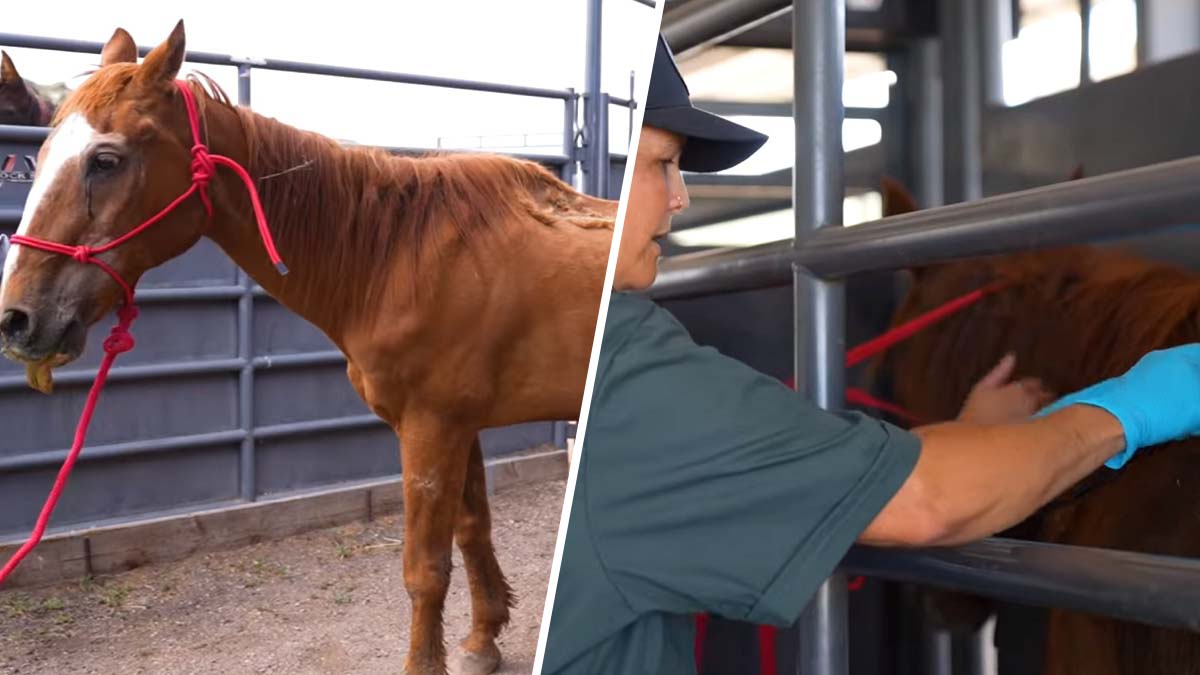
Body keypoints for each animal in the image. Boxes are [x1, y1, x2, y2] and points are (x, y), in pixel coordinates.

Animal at [0, 23, 614, 675]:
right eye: (39, 159)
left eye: (105, 160)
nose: (17, 319)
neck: (398, 258)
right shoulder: (460, 426)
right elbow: (473, 528)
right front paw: (481, 641)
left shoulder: (430, 428)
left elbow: (424, 569)